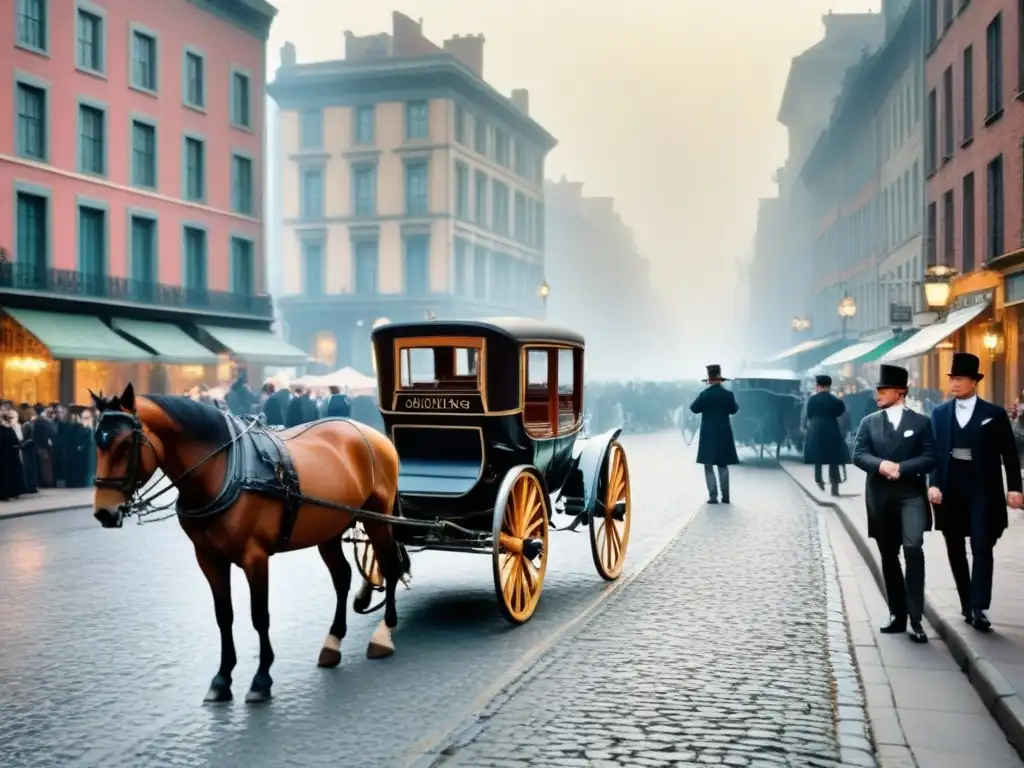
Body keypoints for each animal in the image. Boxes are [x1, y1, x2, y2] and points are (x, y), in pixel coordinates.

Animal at [88, 382, 407, 704]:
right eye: (97, 442)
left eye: (125, 444)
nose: (105, 512)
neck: (222, 470)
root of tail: (372, 433)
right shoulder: (208, 558)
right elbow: (224, 615)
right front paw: (222, 677)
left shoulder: (255, 557)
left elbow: (259, 615)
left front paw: (261, 678)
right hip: (329, 528)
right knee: (342, 578)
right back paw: (333, 641)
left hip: (378, 519)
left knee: (390, 567)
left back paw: (384, 633)